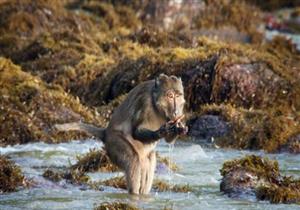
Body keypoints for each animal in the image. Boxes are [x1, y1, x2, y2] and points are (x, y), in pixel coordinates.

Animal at [55, 74, 186, 195]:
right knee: (133, 159)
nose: (175, 111)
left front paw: (180, 129)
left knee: (150, 158)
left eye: (178, 96)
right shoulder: (145, 103)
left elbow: (169, 139)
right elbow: (136, 132)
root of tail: (105, 133)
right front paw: (161, 131)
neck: (156, 104)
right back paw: (134, 193)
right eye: (170, 96)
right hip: (113, 143)